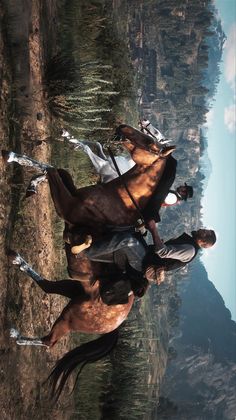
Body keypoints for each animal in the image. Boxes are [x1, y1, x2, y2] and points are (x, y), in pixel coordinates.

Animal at [3, 124, 175, 400]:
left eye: (150, 143)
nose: (122, 128)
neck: (118, 197)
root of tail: (117, 324)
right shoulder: (70, 197)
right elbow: (58, 170)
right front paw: (32, 183)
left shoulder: (66, 205)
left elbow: (52, 169)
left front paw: (12, 157)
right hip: (75, 292)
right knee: (48, 288)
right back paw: (16, 260)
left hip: (73, 316)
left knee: (50, 341)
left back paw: (16, 334)